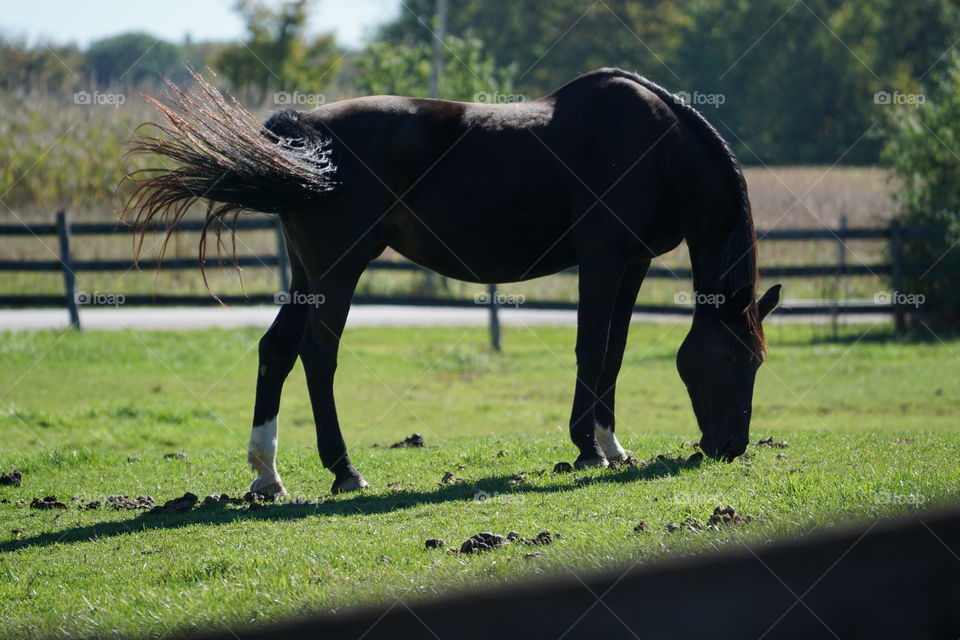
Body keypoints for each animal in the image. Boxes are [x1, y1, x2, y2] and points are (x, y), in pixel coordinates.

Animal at [124, 67, 781, 496]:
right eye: (731, 359)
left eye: (757, 363)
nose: (730, 446)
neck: (656, 147)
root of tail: (303, 132)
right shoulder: (602, 260)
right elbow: (592, 348)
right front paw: (589, 449)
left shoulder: (631, 264)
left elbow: (614, 351)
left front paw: (612, 446)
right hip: (339, 269)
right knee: (317, 354)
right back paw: (344, 470)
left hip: (309, 275)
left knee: (276, 350)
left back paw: (267, 474)